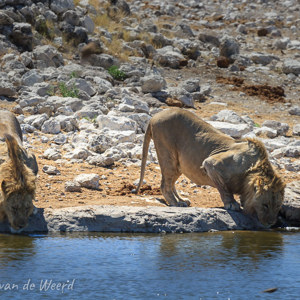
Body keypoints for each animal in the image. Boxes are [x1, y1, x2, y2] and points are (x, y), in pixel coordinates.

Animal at [136, 109, 286, 226]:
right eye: (265, 205)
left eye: (278, 206)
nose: (272, 223)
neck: (253, 169)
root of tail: (154, 116)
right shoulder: (212, 163)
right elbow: (224, 188)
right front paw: (232, 204)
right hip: (168, 155)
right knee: (165, 184)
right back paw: (175, 203)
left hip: (179, 165)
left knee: (171, 183)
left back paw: (182, 200)